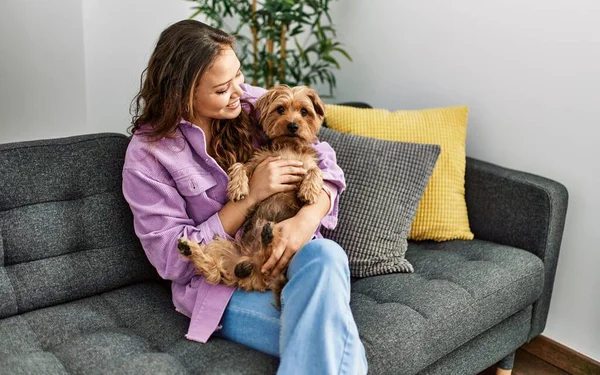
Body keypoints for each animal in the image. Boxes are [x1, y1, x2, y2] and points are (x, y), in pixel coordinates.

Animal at [177, 84, 324, 306]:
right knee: (212, 270)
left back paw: (267, 237)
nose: (292, 125)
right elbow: (240, 166)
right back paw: (191, 249)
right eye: (280, 109)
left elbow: (316, 171)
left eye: (304, 112)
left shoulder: (306, 163)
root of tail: (250, 270)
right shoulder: (258, 161)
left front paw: (308, 191)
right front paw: (238, 188)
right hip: (223, 247)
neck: (288, 146)